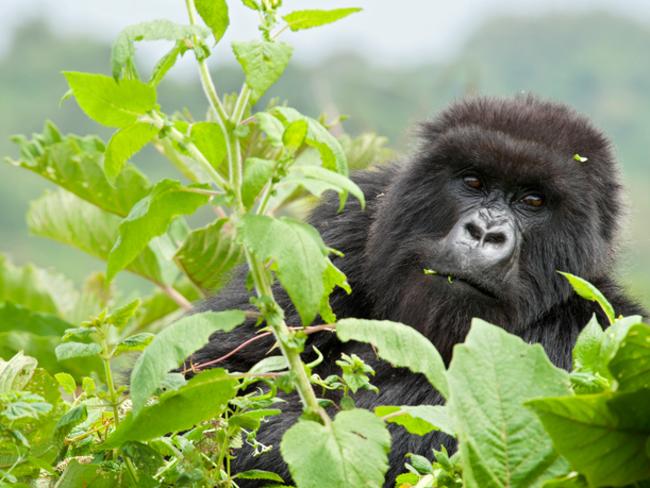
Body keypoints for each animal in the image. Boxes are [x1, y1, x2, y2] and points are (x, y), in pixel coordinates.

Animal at [185, 94, 644, 484]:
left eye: (533, 201)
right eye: (473, 182)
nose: (484, 233)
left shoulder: (591, 332)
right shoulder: (344, 226)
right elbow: (204, 376)